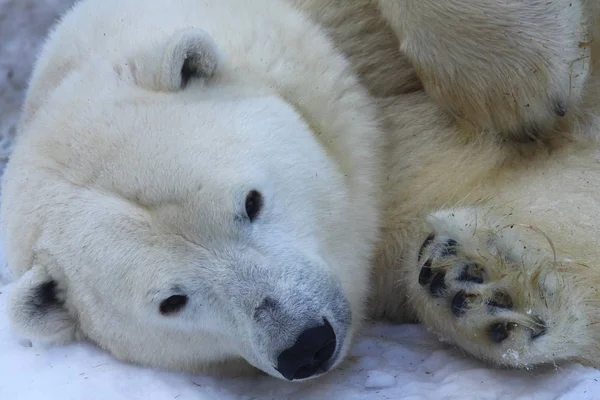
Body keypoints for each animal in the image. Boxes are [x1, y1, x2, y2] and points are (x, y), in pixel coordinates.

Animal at [3, 0, 600, 382]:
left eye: (250, 202)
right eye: (171, 301)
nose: (306, 344)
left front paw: (519, 84)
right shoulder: (389, 191)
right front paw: (482, 288)